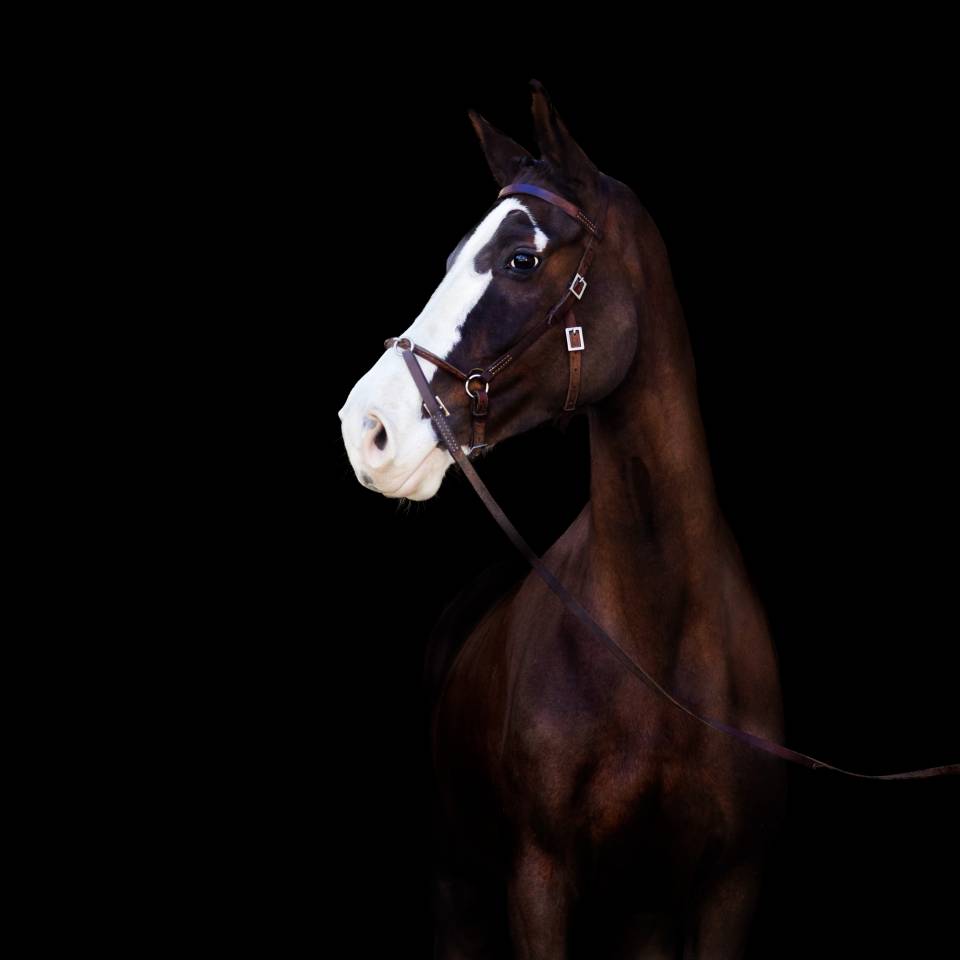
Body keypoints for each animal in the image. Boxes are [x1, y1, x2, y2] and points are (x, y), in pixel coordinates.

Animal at [338, 79, 787, 959]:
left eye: (520, 258)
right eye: (449, 260)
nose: (366, 428)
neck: (655, 639)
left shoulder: (731, 884)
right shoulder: (536, 881)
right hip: (455, 884)